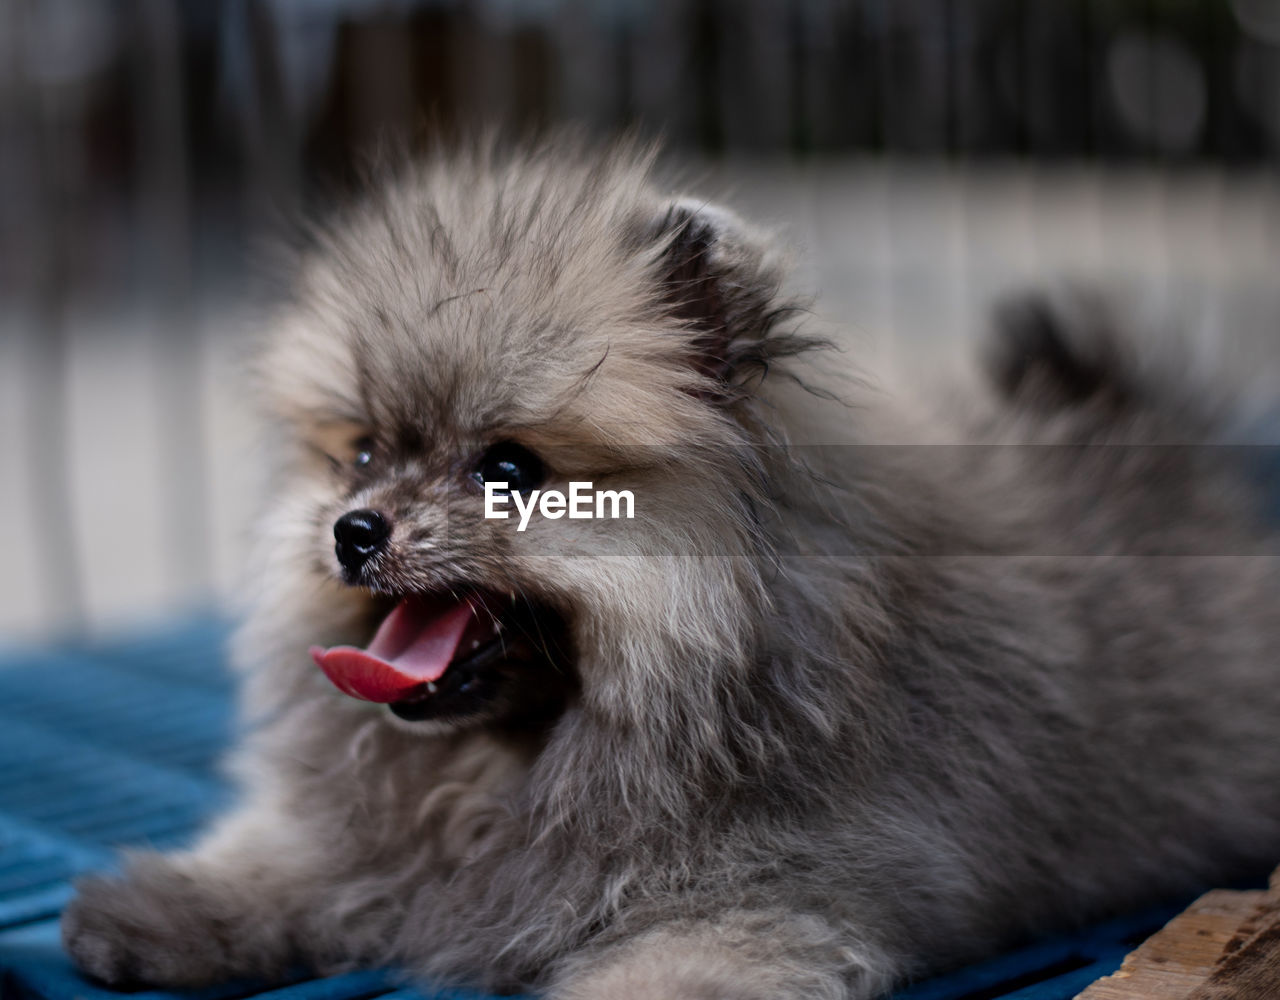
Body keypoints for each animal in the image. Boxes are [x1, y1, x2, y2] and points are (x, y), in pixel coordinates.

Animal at [62, 140, 1280, 998]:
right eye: (362, 454)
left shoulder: (768, 898)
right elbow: (298, 859)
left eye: (508, 468)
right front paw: (173, 904)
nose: (354, 529)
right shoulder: (390, 843)